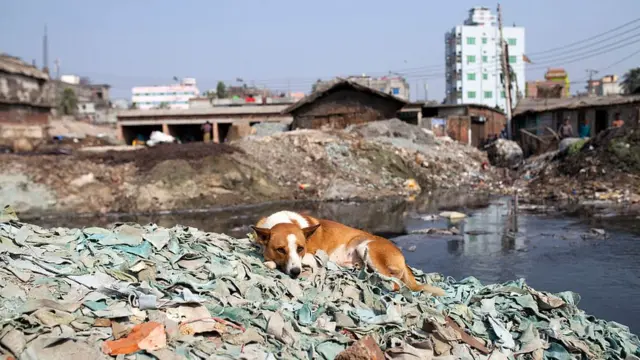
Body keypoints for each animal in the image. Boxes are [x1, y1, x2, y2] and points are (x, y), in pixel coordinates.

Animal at [250, 210, 444, 296]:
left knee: (395, 283)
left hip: (367, 247)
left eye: (300, 248)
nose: (296, 272)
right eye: (280, 250)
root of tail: (404, 259)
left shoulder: (312, 255)